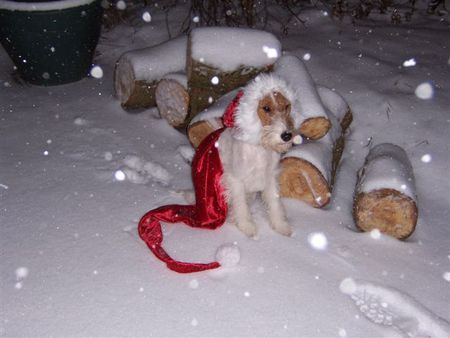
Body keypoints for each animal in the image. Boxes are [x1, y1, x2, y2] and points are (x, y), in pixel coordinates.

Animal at [217, 74, 296, 238]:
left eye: (286, 106)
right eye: (266, 108)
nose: (286, 135)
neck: (260, 147)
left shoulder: (270, 176)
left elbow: (274, 202)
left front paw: (281, 226)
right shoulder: (236, 178)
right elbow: (240, 205)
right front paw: (247, 227)